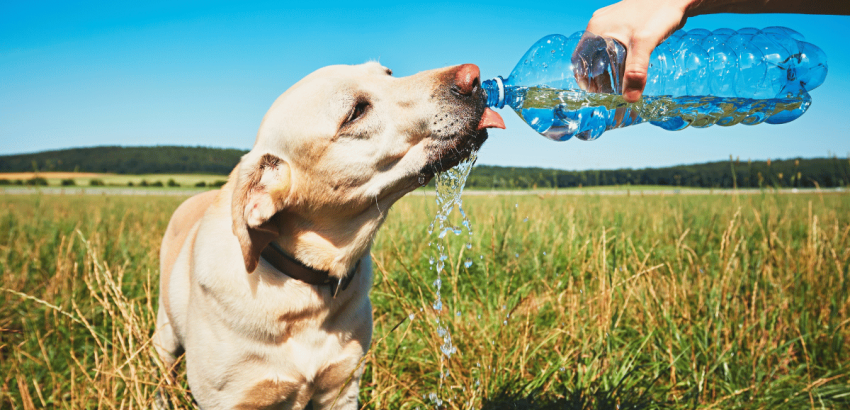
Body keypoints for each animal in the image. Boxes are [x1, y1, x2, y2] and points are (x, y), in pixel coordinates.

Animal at [153, 61, 504, 410]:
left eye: (388, 74)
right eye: (356, 112)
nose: (473, 76)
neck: (306, 289)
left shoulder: (343, 388)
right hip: (164, 336)